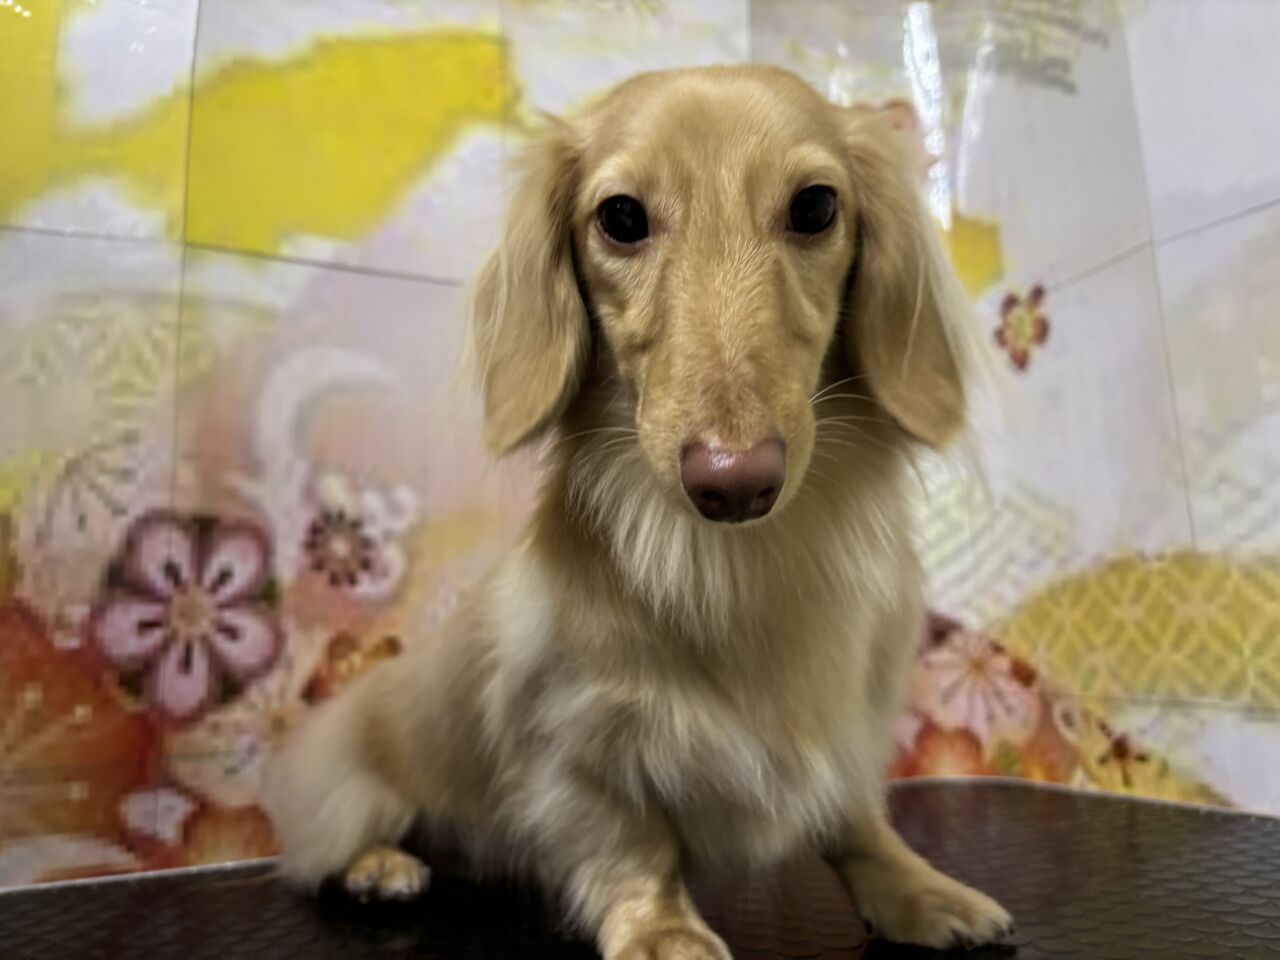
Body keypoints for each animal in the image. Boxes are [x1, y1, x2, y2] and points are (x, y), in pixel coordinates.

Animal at [264, 64, 1012, 958]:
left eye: (815, 207)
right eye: (621, 218)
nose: (735, 482)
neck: (743, 568)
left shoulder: (849, 728)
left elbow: (859, 821)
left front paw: (918, 891)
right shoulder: (577, 745)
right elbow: (630, 842)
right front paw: (664, 932)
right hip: (350, 779)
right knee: (329, 847)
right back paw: (379, 864)